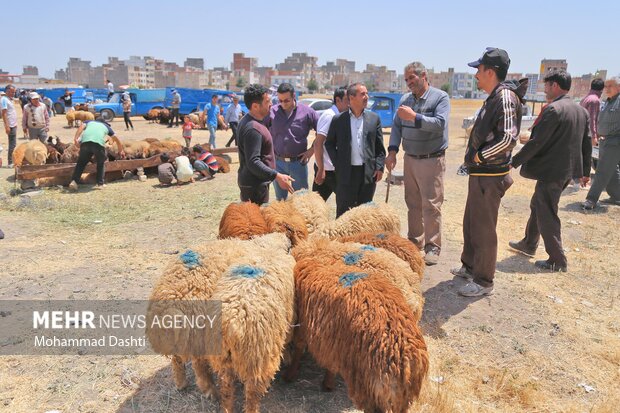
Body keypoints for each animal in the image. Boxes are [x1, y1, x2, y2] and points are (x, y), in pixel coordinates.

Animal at [288, 241, 428, 412]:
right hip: (401, 398)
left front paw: (291, 375)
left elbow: (299, 347)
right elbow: (331, 364)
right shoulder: (334, 340)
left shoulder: (306, 324)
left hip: (368, 385)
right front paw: (328, 383)